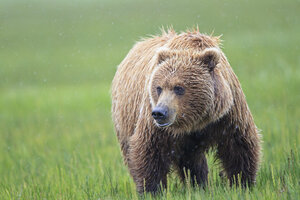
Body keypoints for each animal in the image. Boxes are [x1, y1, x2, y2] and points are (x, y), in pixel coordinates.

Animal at [111, 28, 262, 194]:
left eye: (179, 88)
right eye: (158, 87)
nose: (159, 113)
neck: (194, 121)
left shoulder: (228, 114)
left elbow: (239, 145)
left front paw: (242, 184)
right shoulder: (155, 123)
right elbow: (149, 149)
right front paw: (152, 190)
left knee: (192, 160)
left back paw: (198, 184)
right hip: (125, 121)